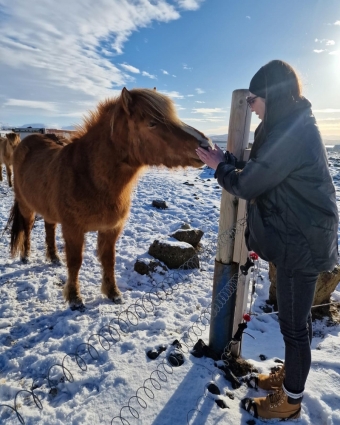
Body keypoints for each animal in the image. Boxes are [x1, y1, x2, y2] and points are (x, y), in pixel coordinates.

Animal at [8, 88, 212, 308]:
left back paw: (54, 258)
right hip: (26, 206)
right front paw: (75, 298)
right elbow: (75, 262)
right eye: (152, 123)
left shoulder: (111, 229)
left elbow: (109, 260)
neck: (88, 176)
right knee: (27, 228)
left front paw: (113, 293)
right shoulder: (73, 229)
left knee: (49, 227)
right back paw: (26, 256)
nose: (206, 145)